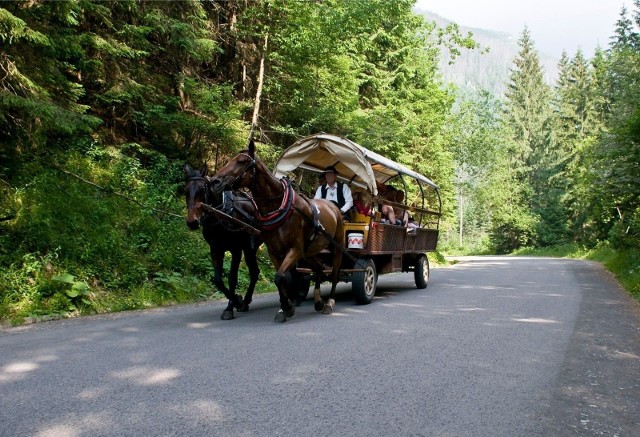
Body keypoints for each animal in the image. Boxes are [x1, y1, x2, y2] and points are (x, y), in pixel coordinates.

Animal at [181, 164, 262, 320]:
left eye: (202, 189)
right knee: (255, 271)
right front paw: (237, 300)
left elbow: (232, 278)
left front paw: (230, 307)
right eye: (185, 190)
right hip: (250, 248)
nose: (192, 222)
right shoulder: (215, 249)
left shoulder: (236, 249)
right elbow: (218, 280)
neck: (222, 214)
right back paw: (245, 302)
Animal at [210, 140, 344, 320]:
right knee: (319, 269)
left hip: (336, 248)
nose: (214, 181)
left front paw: (287, 307)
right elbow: (282, 279)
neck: (278, 207)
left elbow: (279, 277)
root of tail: (333, 206)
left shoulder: (294, 250)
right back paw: (317, 301)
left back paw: (329, 302)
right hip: (309, 252)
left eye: (242, 161)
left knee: (335, 273)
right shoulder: (275, 252)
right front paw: (285, 307)